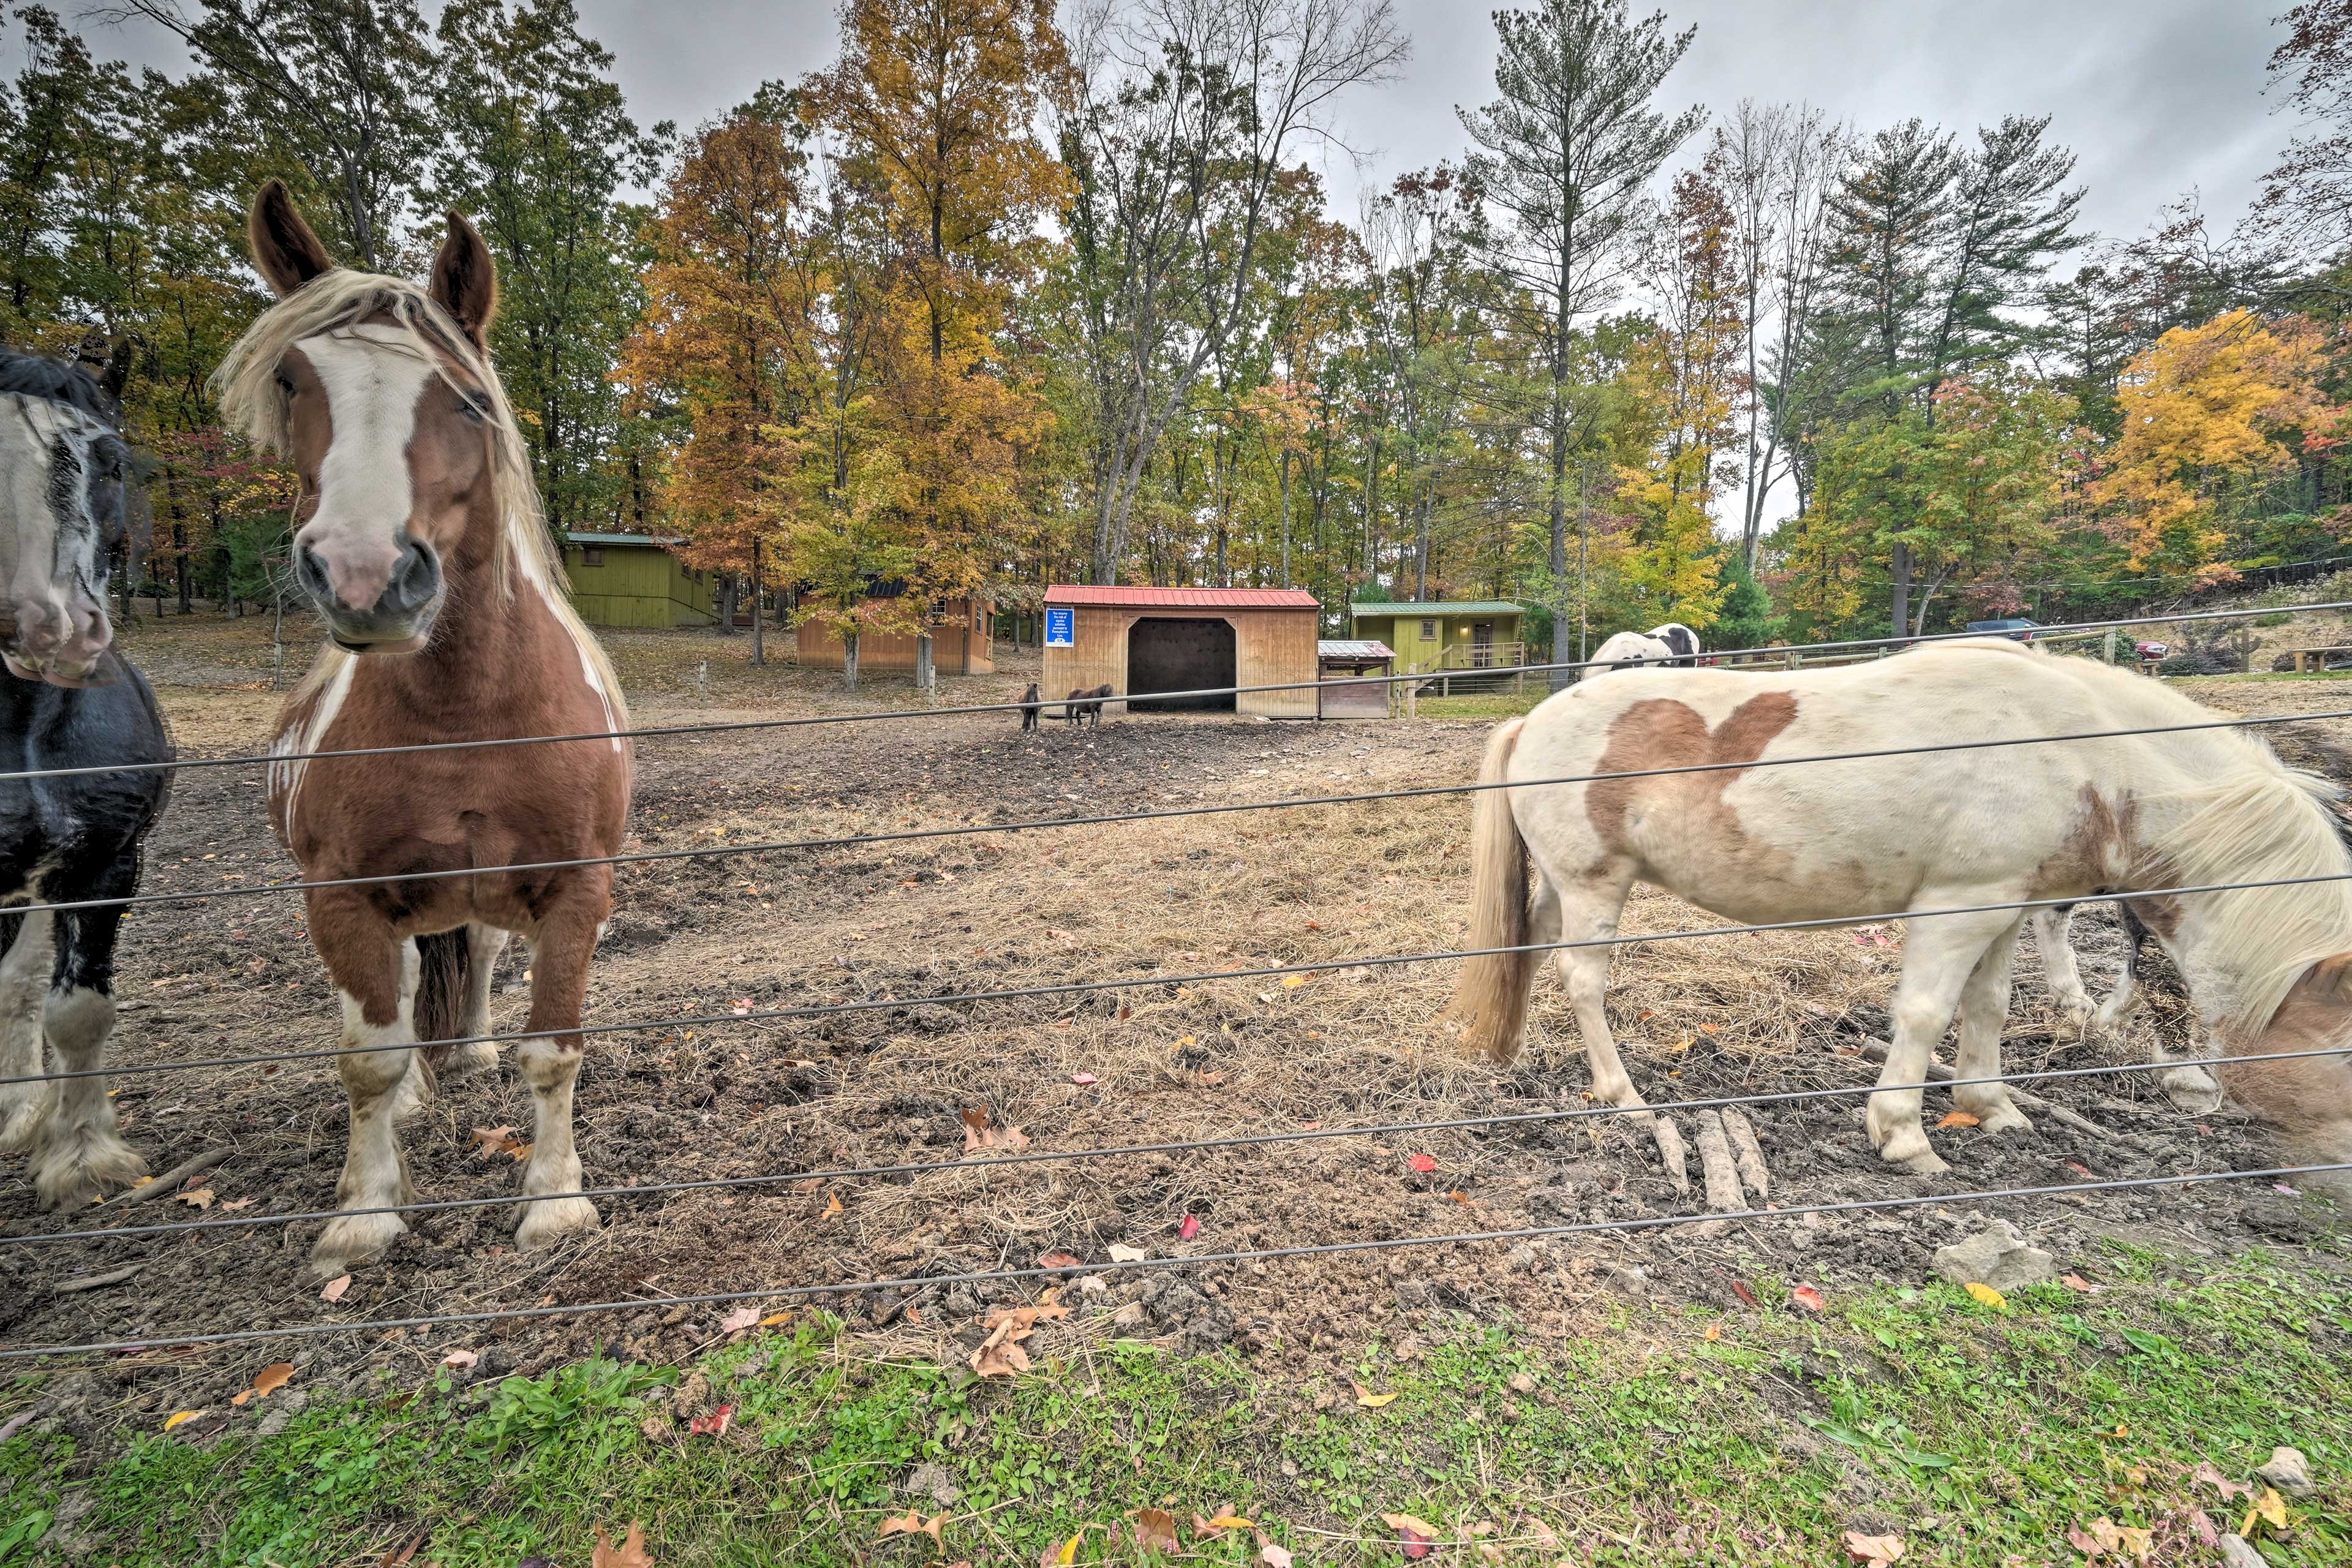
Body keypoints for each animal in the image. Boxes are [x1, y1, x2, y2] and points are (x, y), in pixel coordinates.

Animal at [216, 181, 634, 1274]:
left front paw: (555, 1201)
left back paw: (472, 1049)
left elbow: (554, 1047)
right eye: (291, 381)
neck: (462, 718)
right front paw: (364, 1214)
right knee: (395, 998)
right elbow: (366, 1058)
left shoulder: (577, 885)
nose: (365, 575)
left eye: (470, 398)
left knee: (472, 959)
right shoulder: (340, 893)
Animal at [1444, 640, 2352, 1193]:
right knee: (1585, 984)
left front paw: (1993, 1107)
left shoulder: (2007, 903)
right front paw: (1905, 1135)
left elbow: (1988, 1007)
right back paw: (1623, 1095)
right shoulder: (1959, 904)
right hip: (1596, 887)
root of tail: (1534, 717)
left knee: (1531, 955)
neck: (2083, 752)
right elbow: (1923, 1013)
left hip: (1564, 888)